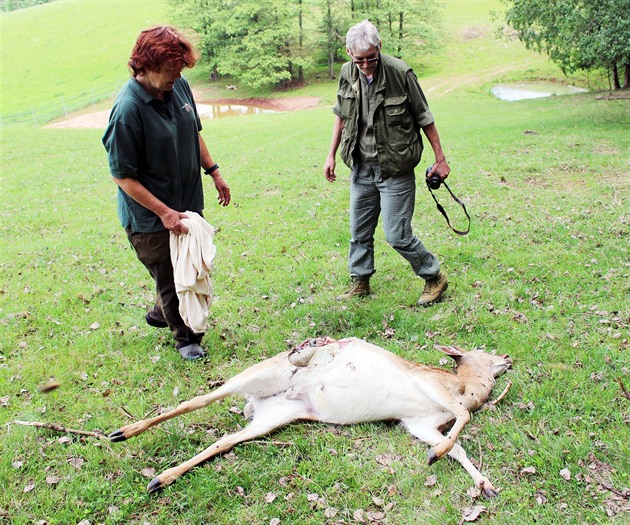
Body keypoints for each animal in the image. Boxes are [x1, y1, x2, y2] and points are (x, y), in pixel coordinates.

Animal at [108, 336, 512, 496]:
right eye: (483, 351)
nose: (509, 357)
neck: (466, 387)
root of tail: (258, 400)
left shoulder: (420, 423)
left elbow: (457, 445)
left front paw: (486, 485)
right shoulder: (431, 389)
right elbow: (463, 419)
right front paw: (434, 456)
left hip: (275, 416)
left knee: (224, 440)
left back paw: (159, 479)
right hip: (253, 376)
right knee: (195, 401)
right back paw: (120, 433)